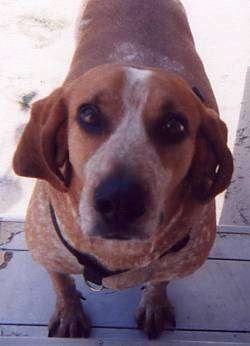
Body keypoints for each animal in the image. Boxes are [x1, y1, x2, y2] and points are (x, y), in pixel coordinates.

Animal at [13, 0, 232, 340]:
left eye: (175, 125)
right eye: (88, 114)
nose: (120, 202)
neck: (117, 255)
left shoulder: (179, 263)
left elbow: (159, 281)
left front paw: (154, 304)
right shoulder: (45, 253)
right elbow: (61, 282)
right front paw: (68, 312)